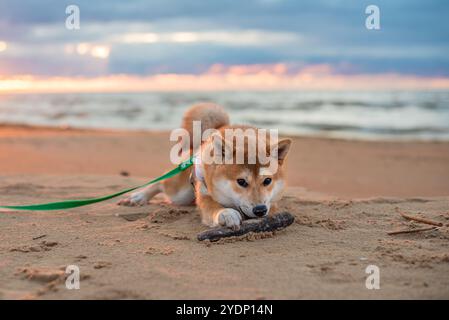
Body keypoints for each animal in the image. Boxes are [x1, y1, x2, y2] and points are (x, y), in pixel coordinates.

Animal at [117, 103, 290, 230]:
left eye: (267, 181)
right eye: (241, 182)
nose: (260, 210)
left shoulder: (271, 202)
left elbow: (272, 206)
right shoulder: (205, 194)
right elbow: (213, 207)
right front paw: (226, 214)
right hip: (180, 193)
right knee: (161, 183)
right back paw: (138, 197)